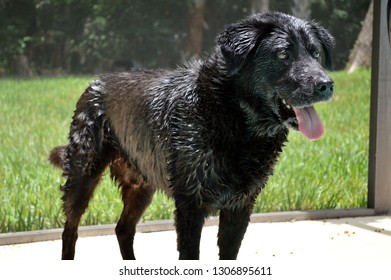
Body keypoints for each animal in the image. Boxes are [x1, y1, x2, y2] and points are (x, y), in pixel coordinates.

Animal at [50, 11, 336, 260]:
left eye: (315, 53)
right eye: (283, 54)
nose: (326, 85)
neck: (232, 119)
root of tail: (95, 82)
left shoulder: (240, 206)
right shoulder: (190, 205)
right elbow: (190, 255)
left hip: (141, 186)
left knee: (123, 229)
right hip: (83, 176)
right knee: (70, 230)